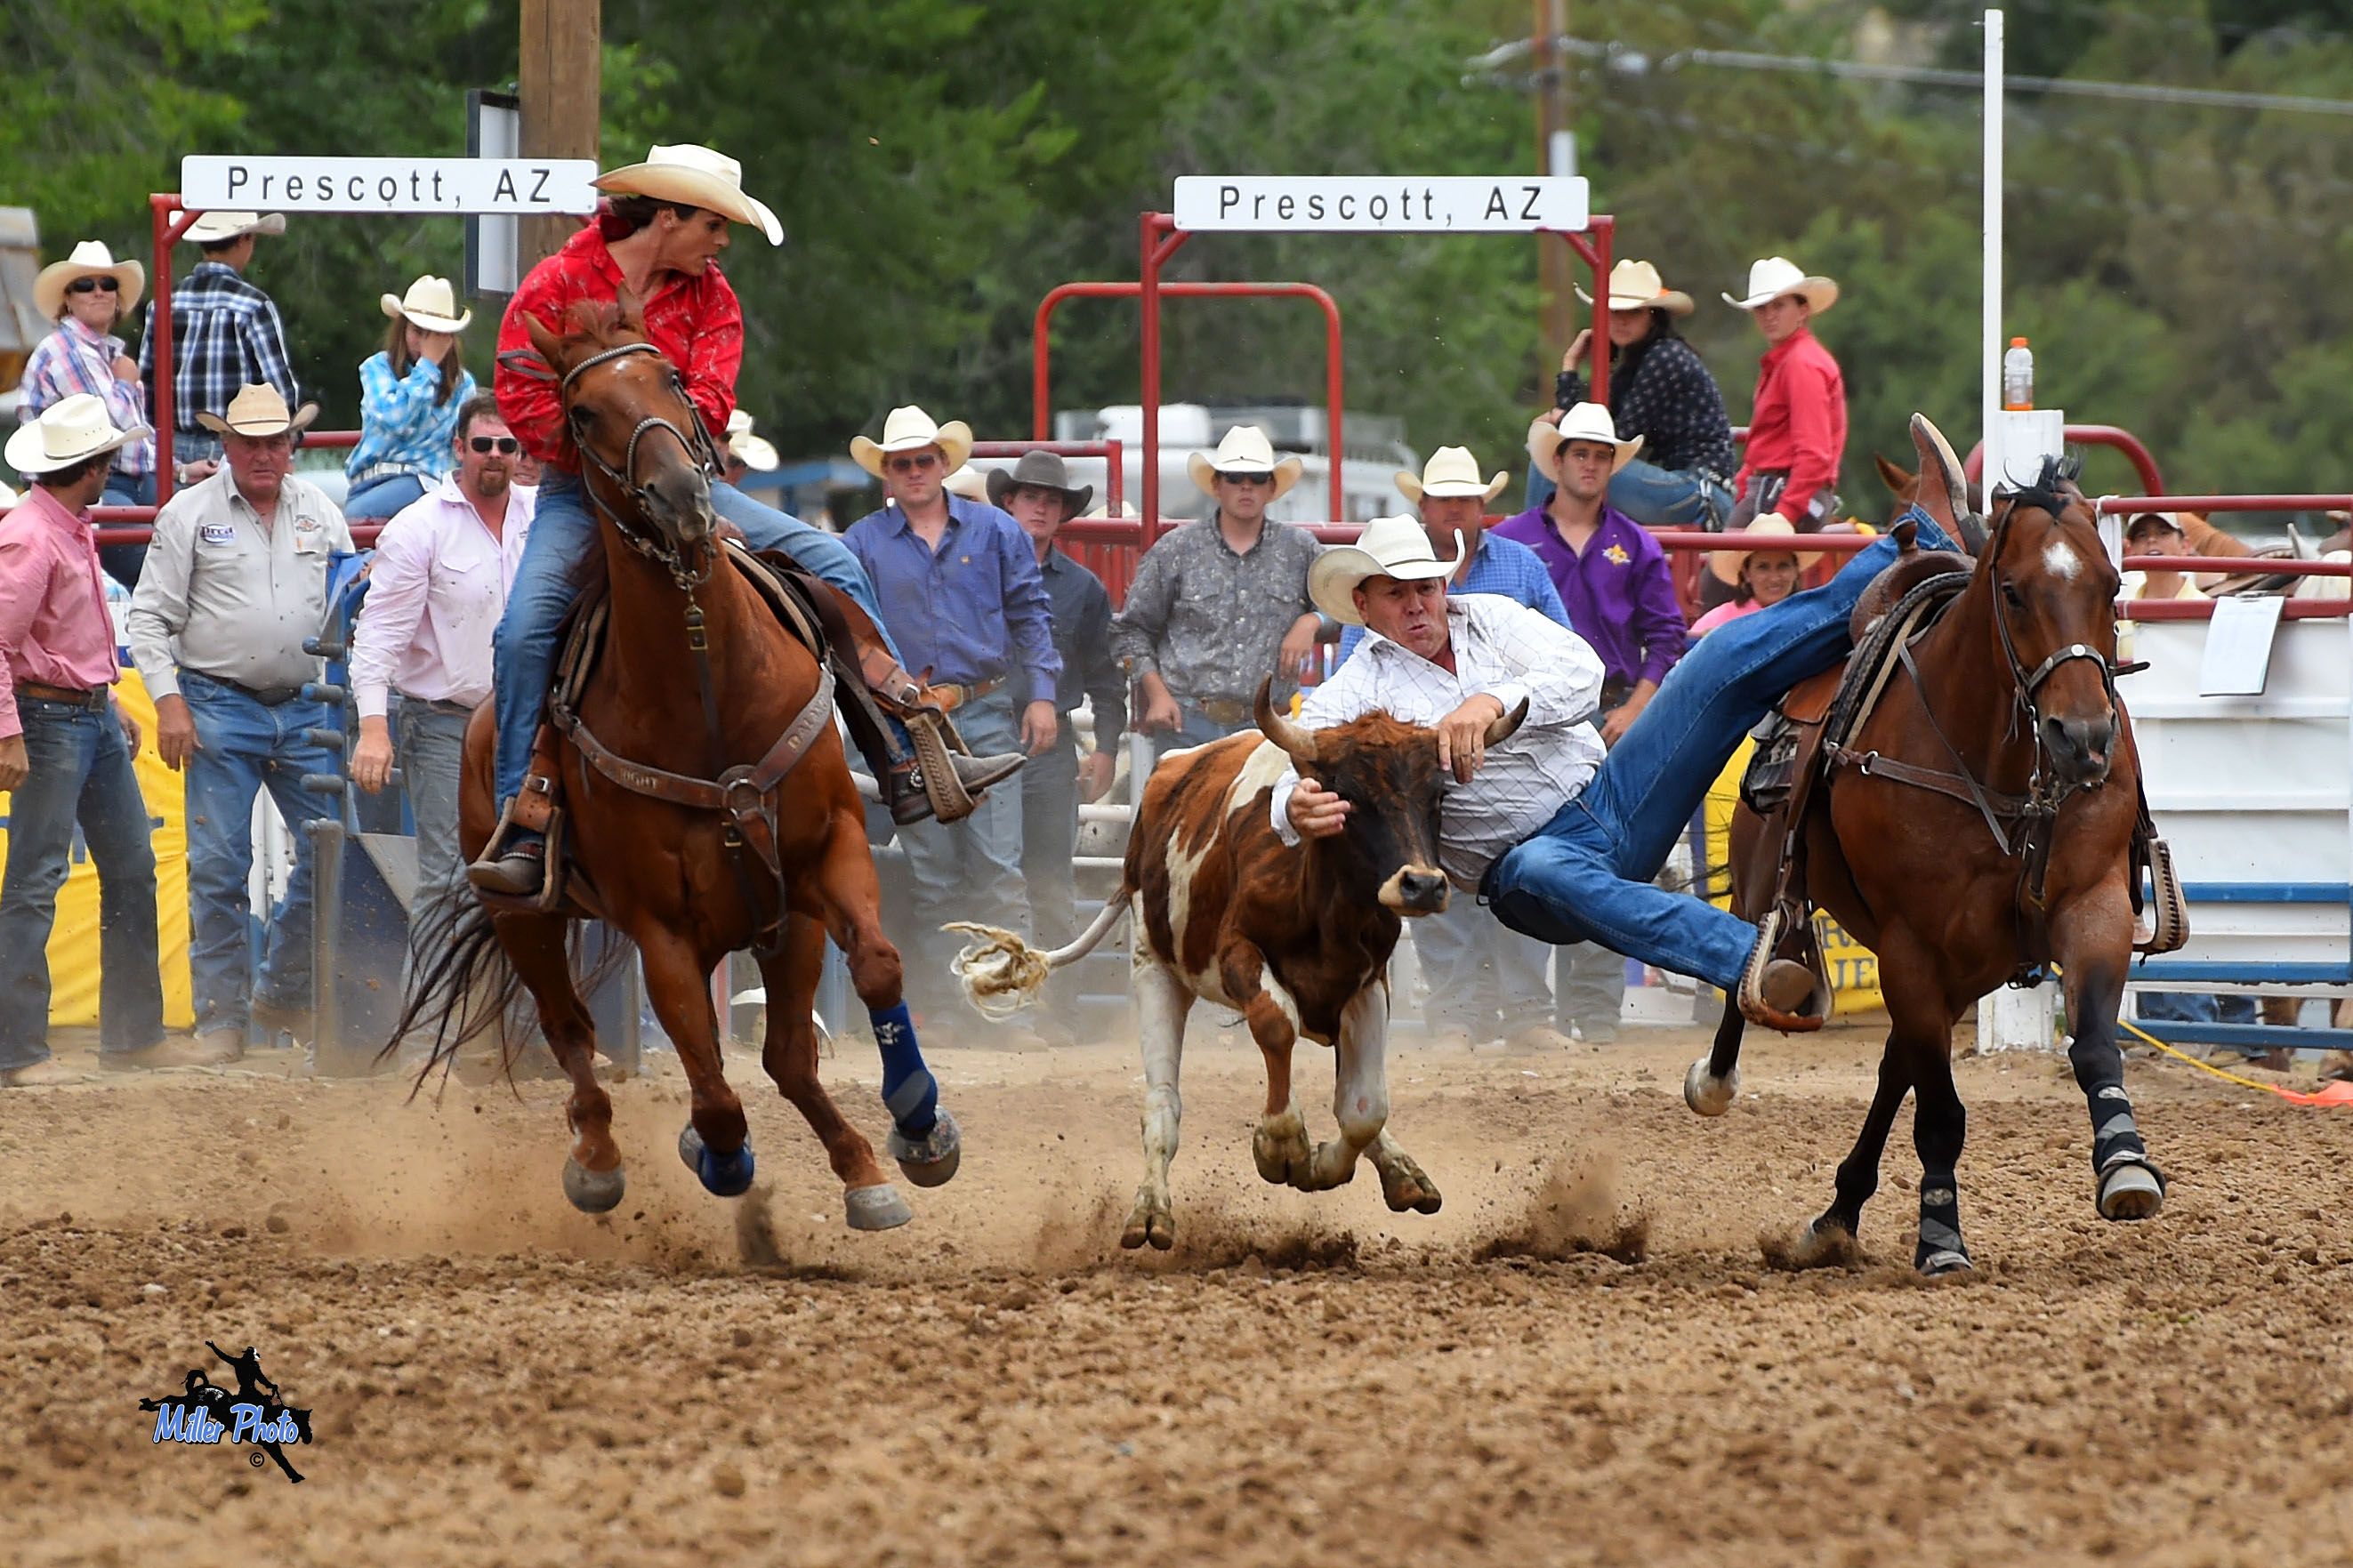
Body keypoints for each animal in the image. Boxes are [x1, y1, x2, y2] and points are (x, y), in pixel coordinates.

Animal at [395, 301, 955, 1232]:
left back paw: (861, 1164)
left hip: (778, 921)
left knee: (786, 1057)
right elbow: (709, 1082)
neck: (708, 690)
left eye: (671, 378)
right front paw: (719, 1156)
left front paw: (918, 1125)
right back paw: (598, 1160)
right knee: (573, 1031)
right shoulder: (660, 927)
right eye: (582, 411)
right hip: (520, 914)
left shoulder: (826, 853)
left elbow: (875, 964)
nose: (684, 500)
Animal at [1694, 425, 2164, 1278]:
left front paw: (2124, 1163)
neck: (1999, 769)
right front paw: (1941, 1236)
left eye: (2112, 584)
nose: (2083, 739)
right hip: (1777, 899)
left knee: (1895, 1069)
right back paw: (1717, 1079)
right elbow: (1940, 1109)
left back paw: (1837, 1213)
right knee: (1755, 982)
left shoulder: (2092, 907)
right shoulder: (1910, 944)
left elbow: (2091, 1044)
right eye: (2011, 591)